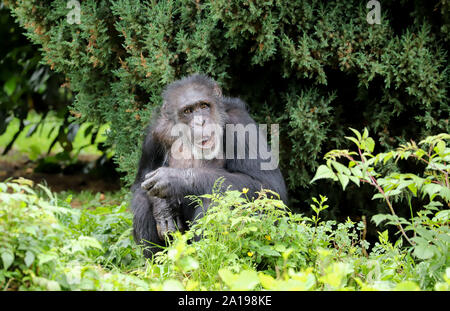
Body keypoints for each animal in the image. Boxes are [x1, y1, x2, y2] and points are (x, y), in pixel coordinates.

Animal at [130, 73, 286, 258]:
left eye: (204, 106)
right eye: (188, 111)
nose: (201, 122)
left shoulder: (240, 125)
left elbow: (269, 187)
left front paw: (174, 179)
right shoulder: (155, 134)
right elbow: (142, 180)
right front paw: (163, 208)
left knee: (217, 200)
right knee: (141, 202)